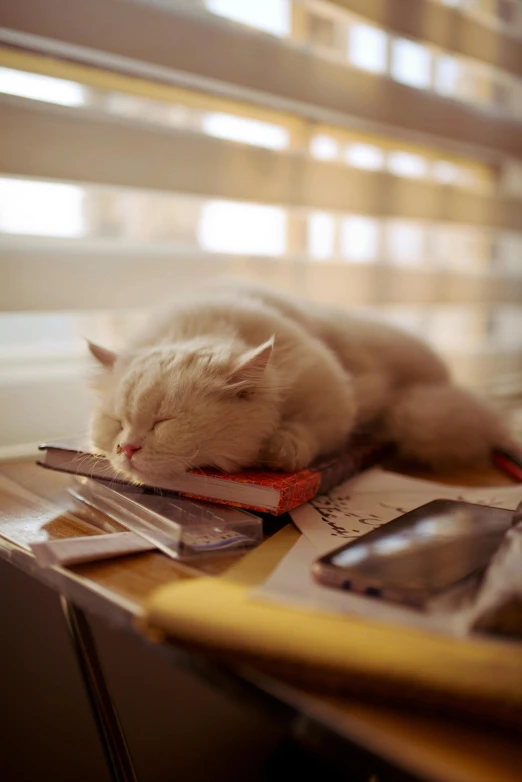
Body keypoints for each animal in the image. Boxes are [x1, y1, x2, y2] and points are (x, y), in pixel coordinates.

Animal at [88, 276, 508, 484]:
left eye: (164, 422)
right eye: (118, 423)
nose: (126, 448)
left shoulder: (335, 397)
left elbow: (305, 433)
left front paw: (277, 450)